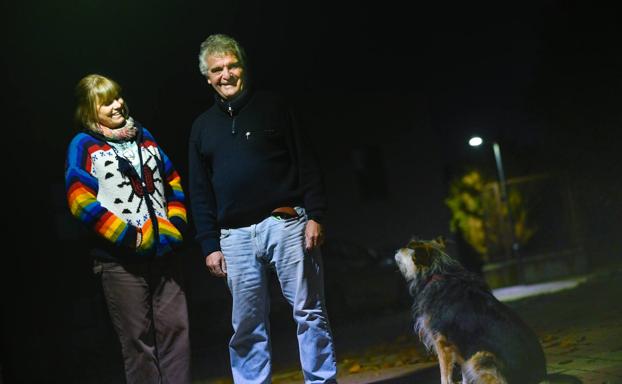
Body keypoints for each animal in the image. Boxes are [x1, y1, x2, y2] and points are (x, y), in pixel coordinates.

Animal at [398, 237, 548, 384]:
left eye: (409, 246)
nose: (397, 250)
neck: (437, 273)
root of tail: (539, 376)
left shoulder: (442, 342)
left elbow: (444, 375)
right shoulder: (460, 343)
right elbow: (464, 372)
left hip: (480, 356)